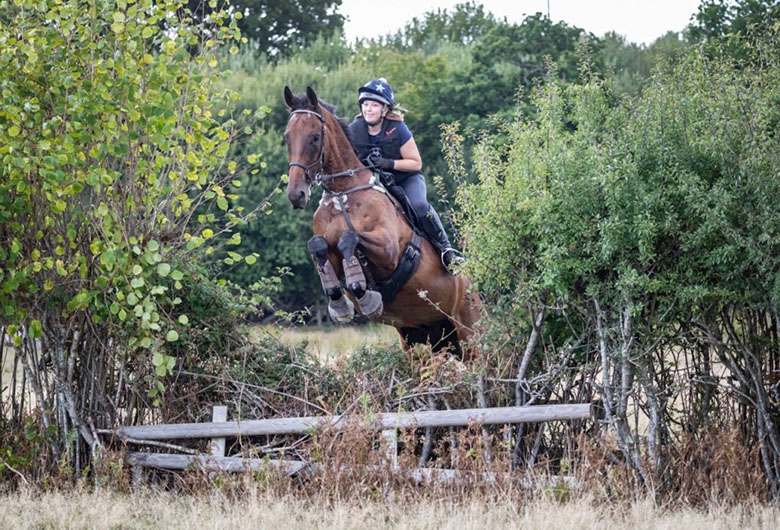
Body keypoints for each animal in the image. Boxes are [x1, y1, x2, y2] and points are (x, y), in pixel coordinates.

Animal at [284, 86, 478, 358]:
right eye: (287, 137)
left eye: (314, 137)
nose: (296, 195)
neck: (343, 194)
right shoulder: (328, 251)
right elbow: (318, 246)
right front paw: (340, 303)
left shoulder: (389, 251)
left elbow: (349, 238)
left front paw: (365, 297)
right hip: (423, 338)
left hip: (470, 335)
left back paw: (451, 257)